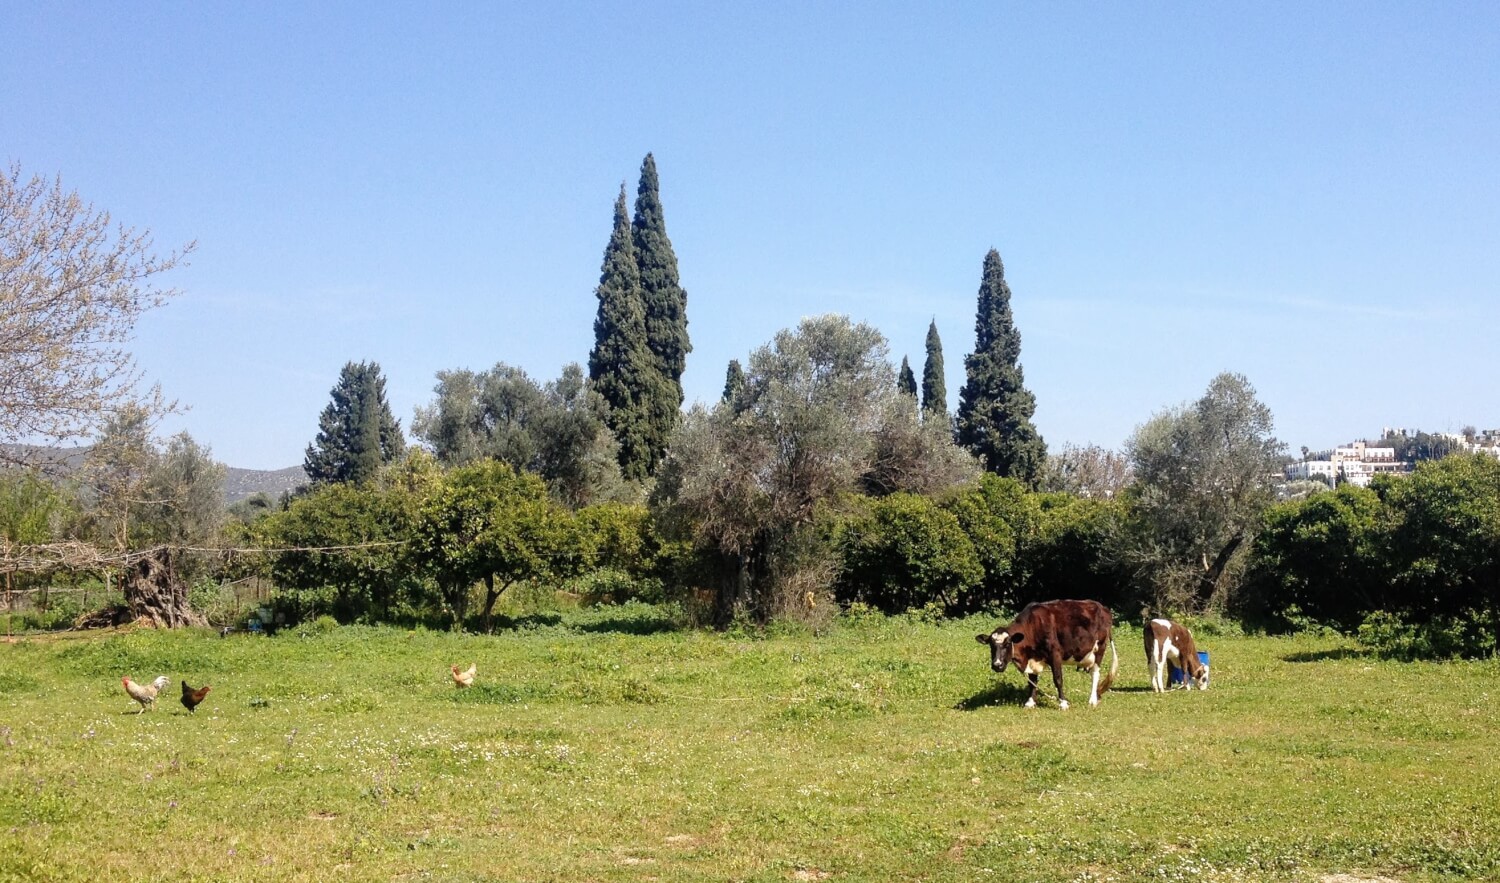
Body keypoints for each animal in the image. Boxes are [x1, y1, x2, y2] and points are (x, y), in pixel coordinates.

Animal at [978, 596, 1122, 704]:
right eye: (991, 645)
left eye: (1007, 643)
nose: (997, 665)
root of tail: (1103, 608)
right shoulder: (1033, 657)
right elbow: (1032, 681)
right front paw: (1030, 702)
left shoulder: (1055, 654)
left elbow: (1058, 679)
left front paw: (1063, 703)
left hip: (1100, 648)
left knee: (1095, 673)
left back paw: (1092, 700)